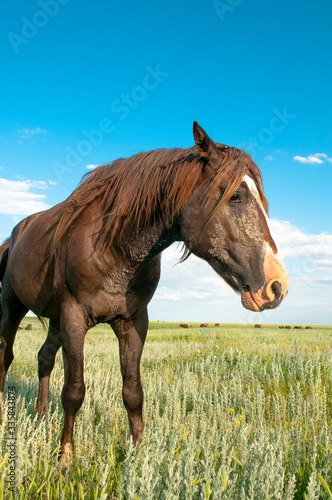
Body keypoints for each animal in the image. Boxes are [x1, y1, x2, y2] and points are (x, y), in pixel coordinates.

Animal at [0, 122, 288, 472]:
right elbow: (74, 391)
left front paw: (139, 457)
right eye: (235, 196)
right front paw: (65, 460)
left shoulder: (133, 322)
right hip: (14, 308)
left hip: (55, 320)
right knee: (6, 356)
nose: (277, 286)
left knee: (44, 357)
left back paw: (41, 415)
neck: (113, 247)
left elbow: (133, 392)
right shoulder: (74, 318)